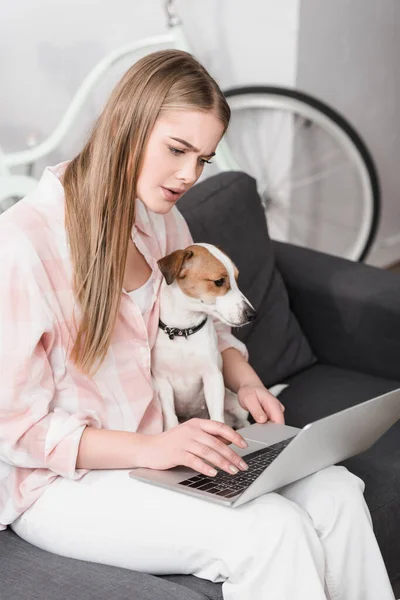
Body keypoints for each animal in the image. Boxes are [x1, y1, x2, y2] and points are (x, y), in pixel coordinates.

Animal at [152, 241, 258, 434]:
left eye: (236, 279)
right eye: (219, 281)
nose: (252, 315)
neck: (183, 331)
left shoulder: (212, 376)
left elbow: (218, 419)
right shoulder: (162, 380)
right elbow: (170, 418)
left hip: (235, 403)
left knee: (242, 422)